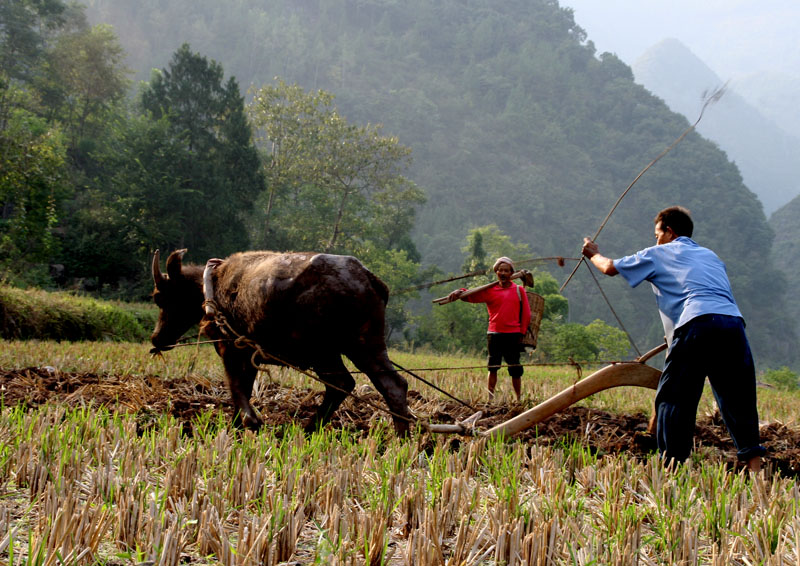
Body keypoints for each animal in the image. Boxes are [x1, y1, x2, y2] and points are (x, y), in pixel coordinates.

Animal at [151, 248, 412, 434]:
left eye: (160, 297)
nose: (157, 338)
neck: (212, 286)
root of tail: (368, 279)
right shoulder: (248, 354)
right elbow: (244, 388)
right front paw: (239, 425)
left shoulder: (232, 349)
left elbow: (236, 388)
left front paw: (250, 421)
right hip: (366, 346)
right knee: (393, 386)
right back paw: (400, 438)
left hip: (323, 352)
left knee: (341, 383)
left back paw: (309, 428)